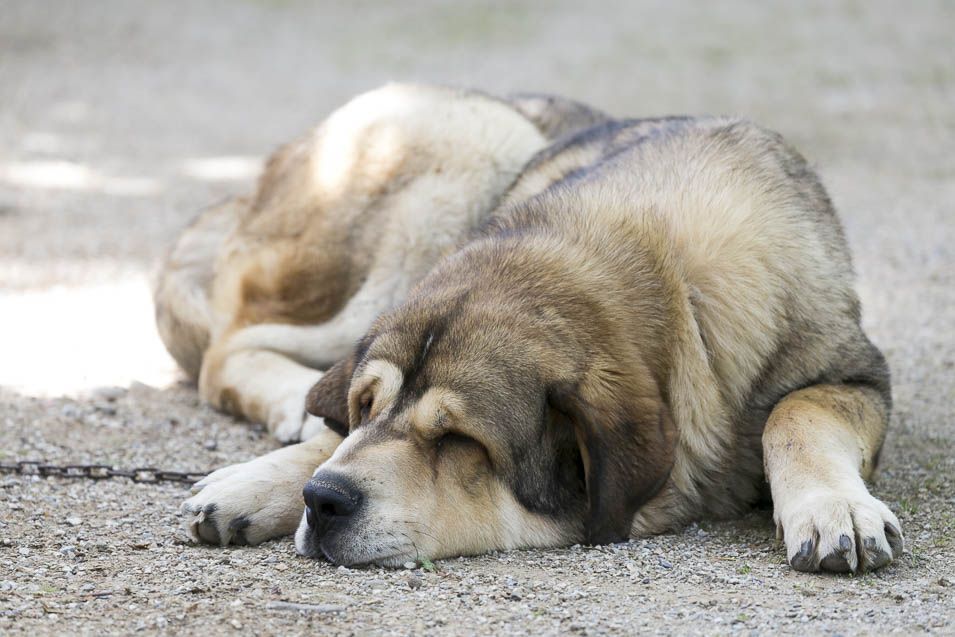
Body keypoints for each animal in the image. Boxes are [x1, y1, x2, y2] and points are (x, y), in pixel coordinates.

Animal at [164, 83, 904, 572]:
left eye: (458, 440)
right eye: (367, 404)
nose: (322, 501)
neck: (668, 276)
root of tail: (260, 177)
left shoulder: (853, 375)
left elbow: (794, 413)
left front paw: (832, 507)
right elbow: (334, 436)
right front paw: (264, 479)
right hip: (469, 147)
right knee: (229, 344)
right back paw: (292, 403)